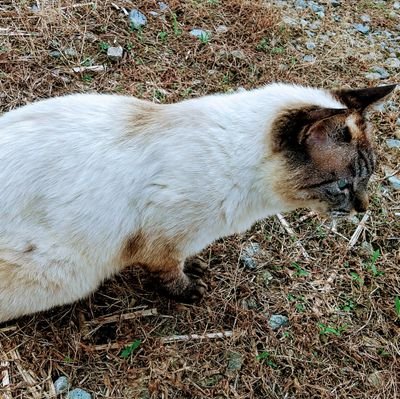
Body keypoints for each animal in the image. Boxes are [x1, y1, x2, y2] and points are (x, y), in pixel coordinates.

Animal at [0, 83, 396, 324]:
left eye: (369, 178)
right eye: (343, 185)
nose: (362, 208)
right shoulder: (161, 241)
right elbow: (170, 272)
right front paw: (190, 290)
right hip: (66, 273)